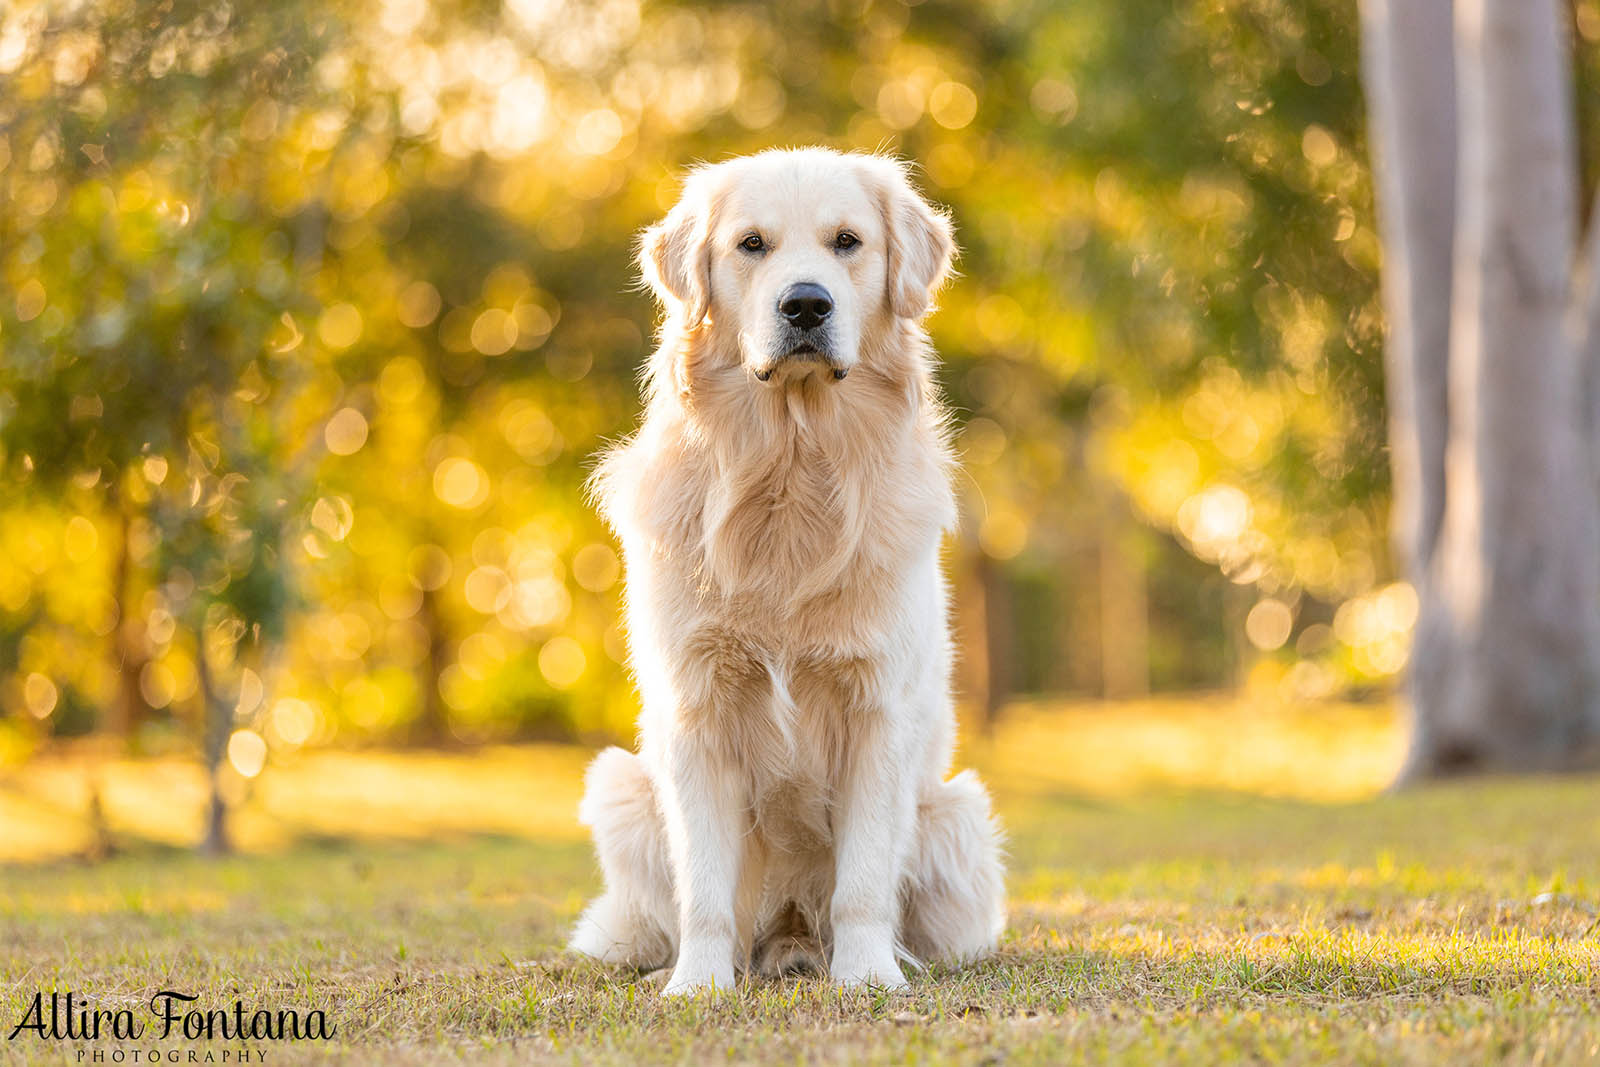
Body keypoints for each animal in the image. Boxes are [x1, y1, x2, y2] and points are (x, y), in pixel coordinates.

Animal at [572, 146, 998, 998]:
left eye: (847, 242)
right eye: (751, 245)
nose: (805, 305)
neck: (792, 466)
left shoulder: (876, 708)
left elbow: (863, 880)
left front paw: (868, 976)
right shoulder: (698, 709)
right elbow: (705, 887)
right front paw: (697, 983)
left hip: (957, 813)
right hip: (621, 787)